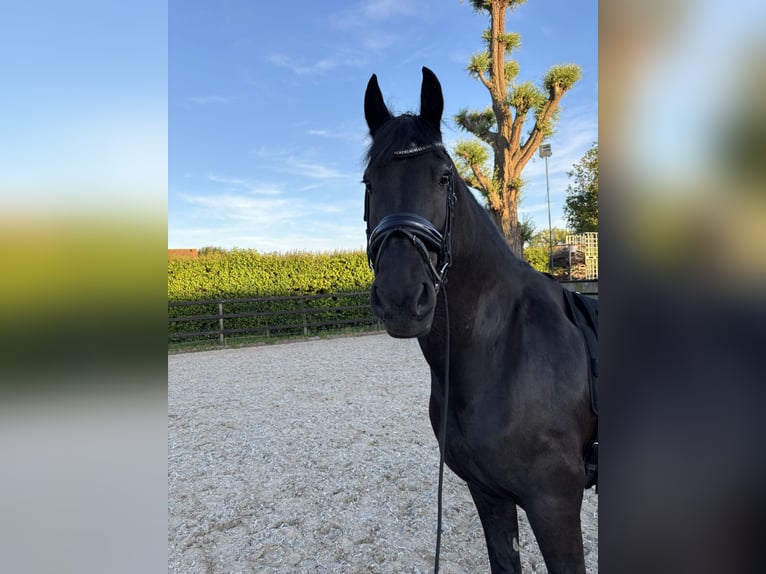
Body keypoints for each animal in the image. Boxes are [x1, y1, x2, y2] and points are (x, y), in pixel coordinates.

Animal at [362, 67, 598, 573]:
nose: (402, 298)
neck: (502, 349)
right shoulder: (488, 496)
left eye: (443, 177)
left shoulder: (555, 505)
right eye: (369, 181)